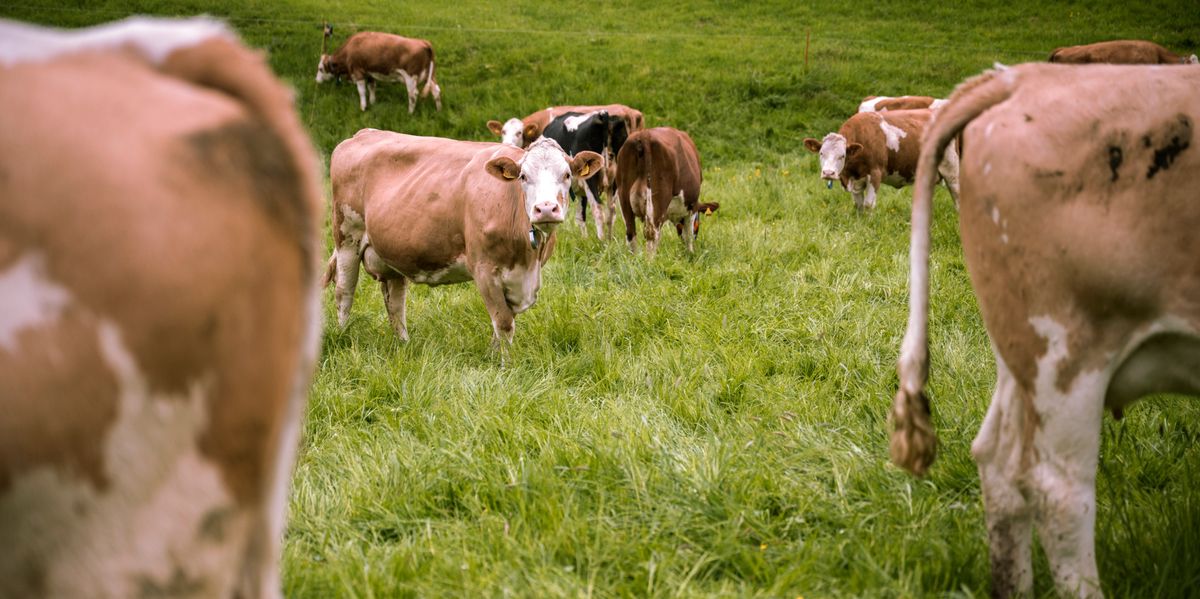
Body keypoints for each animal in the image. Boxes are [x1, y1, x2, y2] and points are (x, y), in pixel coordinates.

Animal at [326, 131, 601, 354]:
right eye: (523, 176)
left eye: (567, 174)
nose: (545, 209)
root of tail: (362, 134)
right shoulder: (484, 269)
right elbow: (504, 322)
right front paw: (506, 365)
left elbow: (504, 322)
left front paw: (494, 356)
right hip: (347, 236)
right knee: (344, 292)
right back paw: (342, 335)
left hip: (392, 250)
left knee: (395, 300)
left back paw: (404, 344)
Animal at [540, 110, 630, 239]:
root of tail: (602, 114)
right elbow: (580, 215)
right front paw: (584, 239)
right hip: (616, 179)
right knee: (612, 210)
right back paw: (609, 239)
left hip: (591, 179)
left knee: (598, 207)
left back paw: (601, 240)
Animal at [616, 127, 718, 256]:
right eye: (697, 224)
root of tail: (644, 134)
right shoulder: (692, 206)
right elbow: (688, 235)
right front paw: (691, 254)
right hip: (658, 198)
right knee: (652, 234)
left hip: (623, 195)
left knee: (631, 233)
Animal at [804, 109, 960, 211]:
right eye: (821, 153)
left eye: (842, 155)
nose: (828, 173)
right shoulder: (855, 179)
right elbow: (858, 205)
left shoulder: (875, 173)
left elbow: (868, 204)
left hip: (952, 169)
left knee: (957, 195)